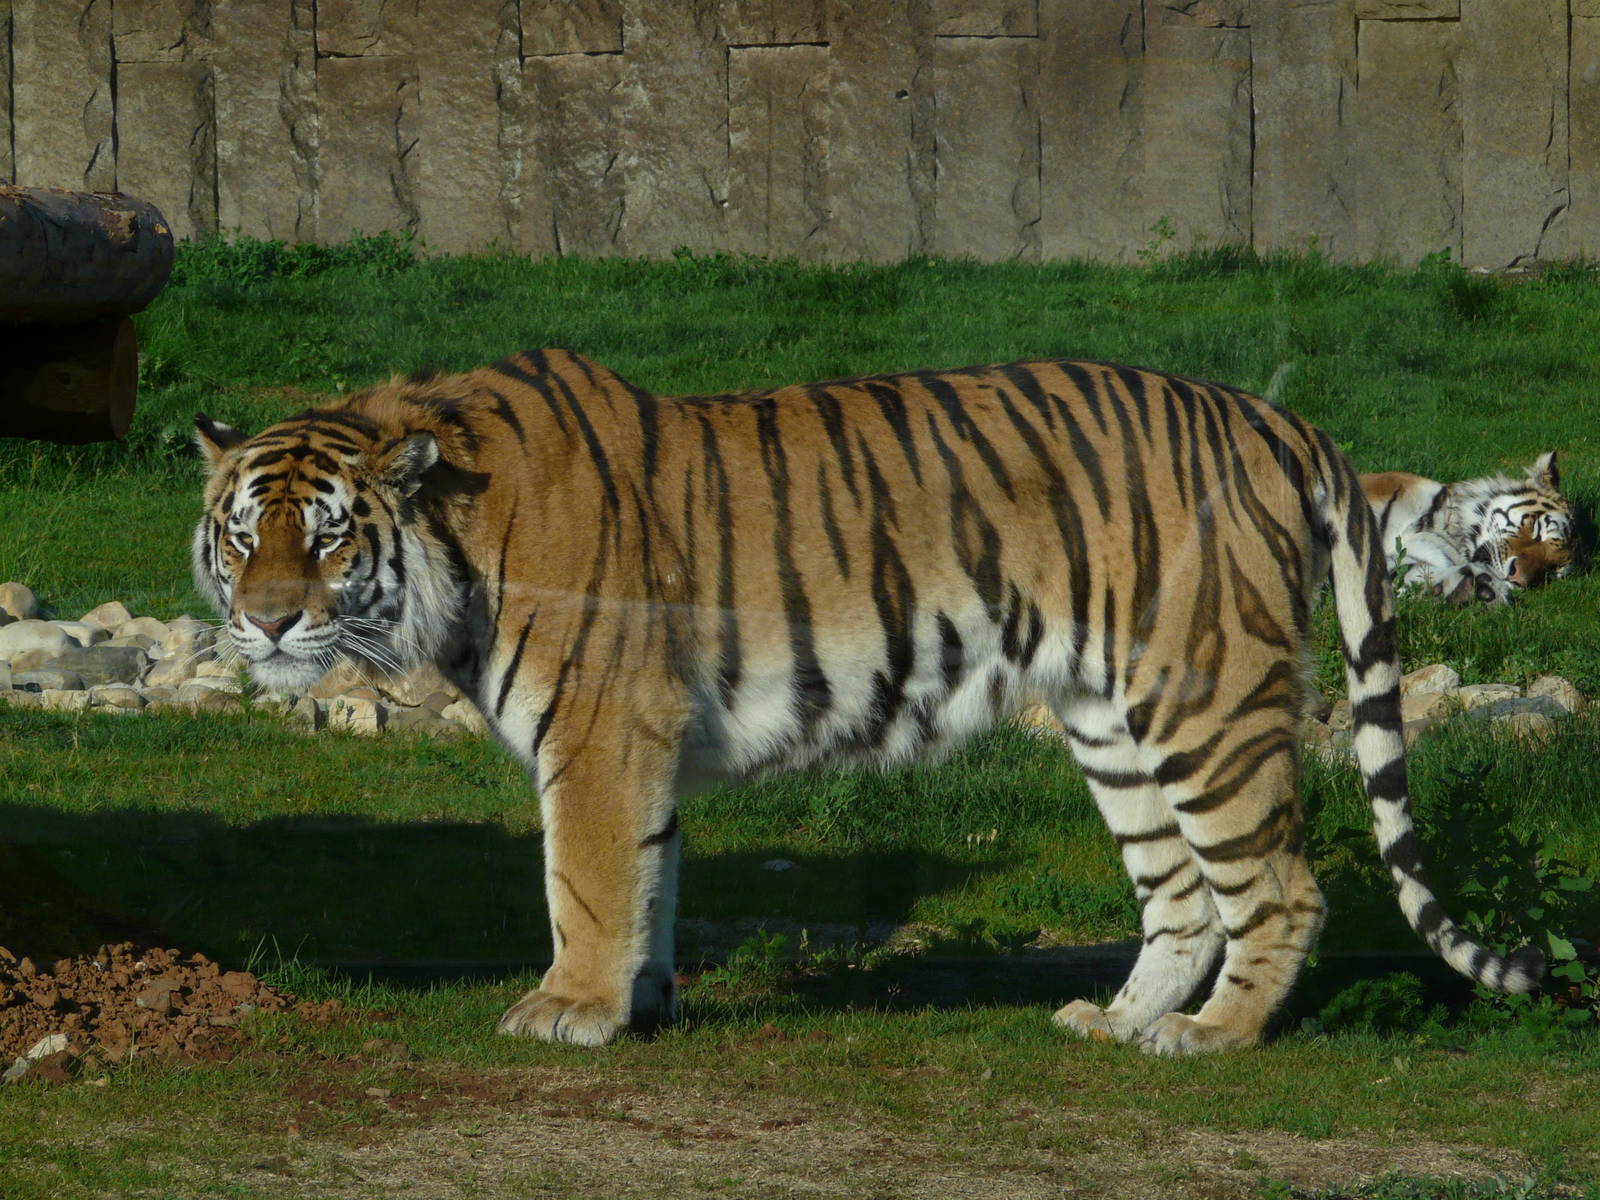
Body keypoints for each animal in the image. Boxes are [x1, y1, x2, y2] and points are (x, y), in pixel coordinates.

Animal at [192, 350, 1543, 1056]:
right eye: (243, 534)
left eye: (324, 539)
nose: (267, 621)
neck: (454, 534)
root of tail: (1271, 416)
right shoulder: (637, 746)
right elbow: (647, 878)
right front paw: (640, 1003)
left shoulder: (596, 732)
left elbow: (585, 878)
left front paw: (566, 1009)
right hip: (1112, 723)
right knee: (1180, 895)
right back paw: (1108, 1020)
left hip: (1203, 699)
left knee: (1277, 886)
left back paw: (1208, 1037)